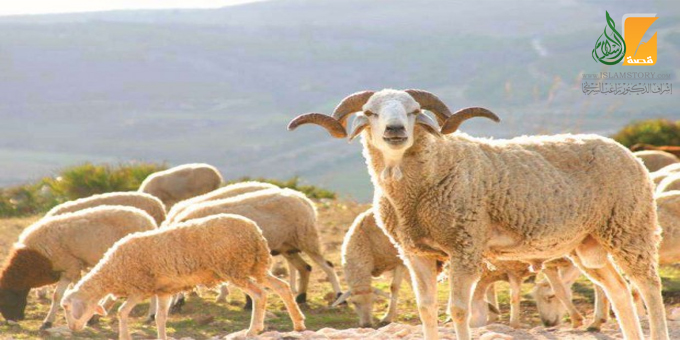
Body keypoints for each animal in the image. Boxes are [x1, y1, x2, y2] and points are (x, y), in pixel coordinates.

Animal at [0, 206, 155, 330]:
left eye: (6, 297)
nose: (12, 320)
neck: (34, 259)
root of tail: (148, 220)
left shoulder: (71, 266)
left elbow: (67, 293)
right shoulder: (68, 269)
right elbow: (60, 295)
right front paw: (49, 322)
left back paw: (150, 316)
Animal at [61, 214, 306, 340]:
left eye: (66, 307)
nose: (72, 329)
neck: (111, 272)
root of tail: (254, 231)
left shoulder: (140, 288)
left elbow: (122, 312)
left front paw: (125, 337)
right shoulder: (163, 290)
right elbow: (160, 318)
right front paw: (162, 337)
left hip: (233, 267)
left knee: (259, 294)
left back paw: (253, 329)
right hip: (254, 265)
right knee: (282, 287)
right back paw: (298, 324)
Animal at [173, 186, 342, 306]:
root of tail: (303, 198)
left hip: (307, 238)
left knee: (328, 266)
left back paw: (339, 297)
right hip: (287, 246)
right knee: (305, 268)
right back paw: (301, 298)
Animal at [288, 88, 668, 340]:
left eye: (414, 110)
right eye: (370, 112)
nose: (395, 130)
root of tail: (626, 151)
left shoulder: (464, 247)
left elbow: (458, 310)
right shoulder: (415, 254)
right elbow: (426, 308)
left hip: (630, 228)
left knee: (649, 288)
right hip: (588, 245)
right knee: (620, 291)